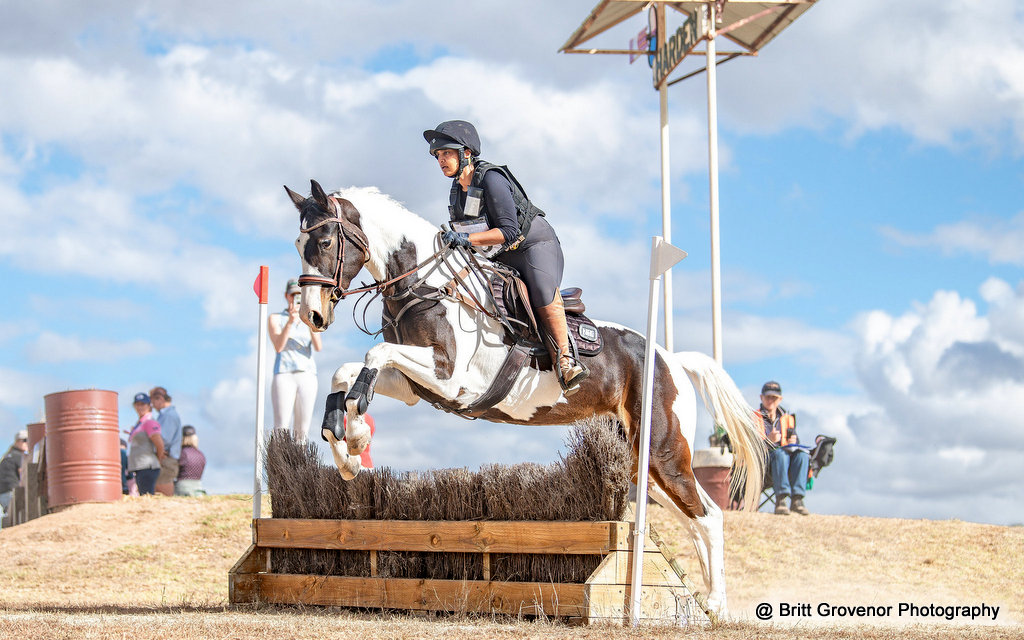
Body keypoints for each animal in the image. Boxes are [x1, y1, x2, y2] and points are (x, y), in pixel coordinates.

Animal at [285, 179, 765, 616]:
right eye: (298, 243)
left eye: (325, 241)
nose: (313, 315)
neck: (425, 284)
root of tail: (672, 359)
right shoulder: (415, 388)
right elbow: (346, 372)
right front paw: (347, 451)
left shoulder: (450, 377)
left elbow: (371, 357)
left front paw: (356, 435)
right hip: (640, 465)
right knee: (696, 518)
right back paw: (705, 604)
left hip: (663, 451)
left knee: (708, 516)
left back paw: (717, 606)